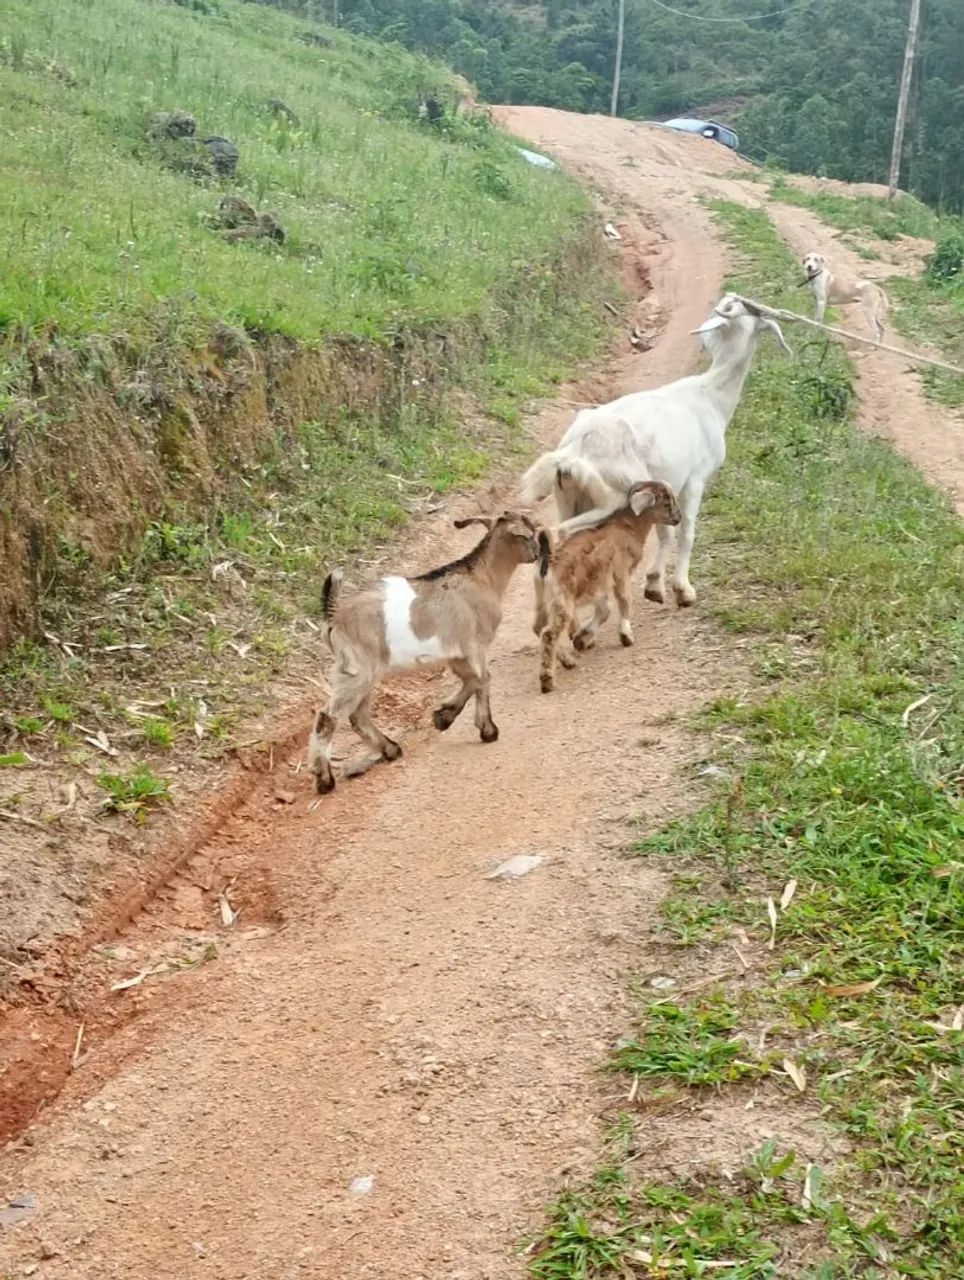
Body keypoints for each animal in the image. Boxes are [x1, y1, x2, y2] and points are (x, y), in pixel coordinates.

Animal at [308, 512, 539, 794]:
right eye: (529, 535)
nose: (538, 553)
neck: (482, 579)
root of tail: (334, 614)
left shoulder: (457, 653)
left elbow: (471, 680)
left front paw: (443, 717)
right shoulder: (475, 644)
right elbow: (483, 680)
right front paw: (488, 731)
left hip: (357, 671)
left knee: (357, 715)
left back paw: (390, 749)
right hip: (358, 669)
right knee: (329, 717)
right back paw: (325, 780)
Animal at [520, 293, 790, 609]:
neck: (711, 395)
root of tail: (573, 449)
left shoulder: (667, 484)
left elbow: (665, 532)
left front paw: (654, 585)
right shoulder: (694, 479)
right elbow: (685, 532)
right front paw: (682, 589)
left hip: (568, 496)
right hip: (612, 493)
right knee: (558, 532)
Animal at [534, 481, 680, 693]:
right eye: (667, 503)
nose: (678, 518)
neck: (627, 528)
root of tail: (549, 562)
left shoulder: (600, 583)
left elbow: (605, 610)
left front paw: (582, 638)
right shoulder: (620, 572)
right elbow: (624, 600)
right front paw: (626, 636)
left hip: (542, 599)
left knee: (539, 627)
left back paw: (567, 661)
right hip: (562, 599)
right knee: (548, 633)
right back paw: (547, 680)